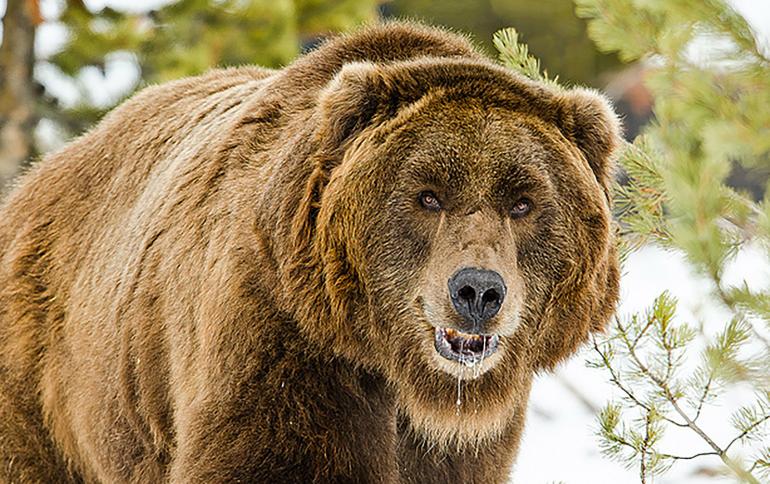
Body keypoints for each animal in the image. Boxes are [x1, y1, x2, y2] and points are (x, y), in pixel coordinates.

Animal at [0, 21, 620, 483]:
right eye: (428, 195)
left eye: (523, 201)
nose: (477, 291)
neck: (391, 367)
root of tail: (36, 178)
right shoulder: (282, 356)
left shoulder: (463, 445)